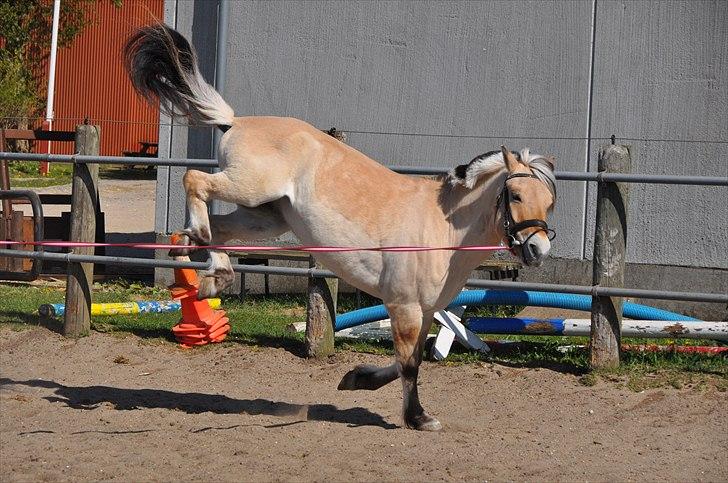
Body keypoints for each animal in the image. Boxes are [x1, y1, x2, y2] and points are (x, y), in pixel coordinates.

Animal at [125, 24, 556, 432]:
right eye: (515, 194)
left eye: (550, 202)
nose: (539, 250)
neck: (442, 232)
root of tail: (235, 121)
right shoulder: (403, 306)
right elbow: (408, 364)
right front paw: (417, 418)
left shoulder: (427, 310)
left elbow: (412, 359)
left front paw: (357, 379)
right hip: (249, 188)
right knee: (195, 181)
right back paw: (199, 247)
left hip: (265, 216)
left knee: (218, 229)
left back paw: (208, 270)